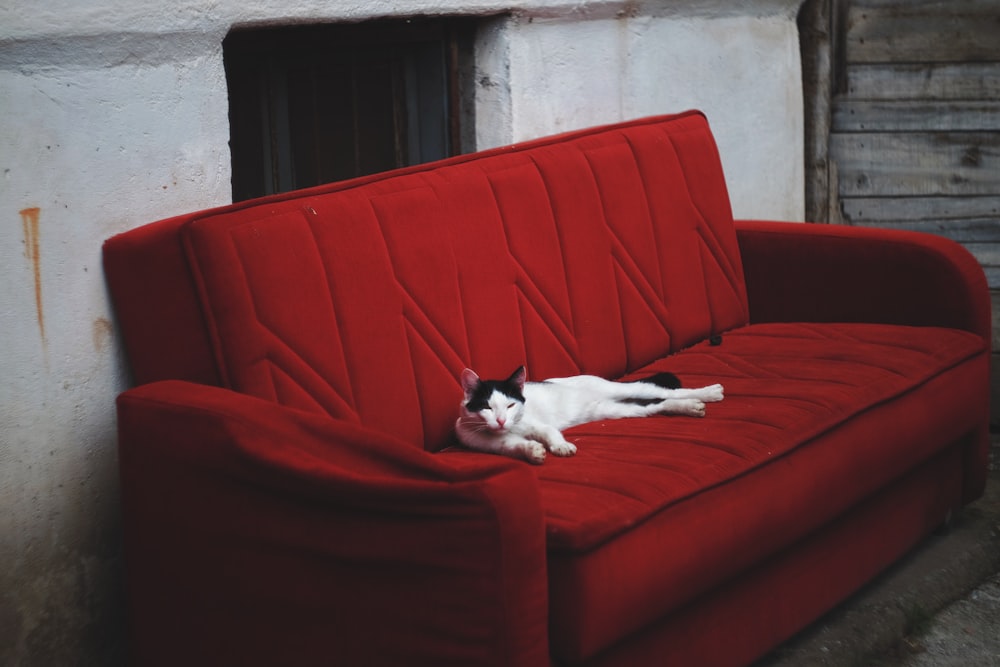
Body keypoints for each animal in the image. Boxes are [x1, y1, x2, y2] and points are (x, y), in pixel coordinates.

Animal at [458, 366, 724, 464]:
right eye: (487, 407)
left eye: (511, 406)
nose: (501, 421)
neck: (513, 427)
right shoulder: (497, 443)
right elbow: (516, 445)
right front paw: (533, 451)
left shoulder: (541, 426)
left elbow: (551, 433)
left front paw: (562, 447)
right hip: (617, 409)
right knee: (657, 404)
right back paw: (689, 407)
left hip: (623, 390)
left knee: (664, 391)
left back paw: (709, 393)